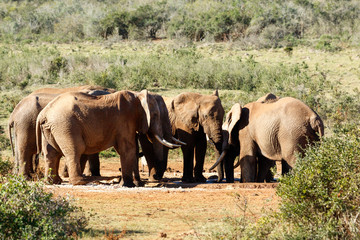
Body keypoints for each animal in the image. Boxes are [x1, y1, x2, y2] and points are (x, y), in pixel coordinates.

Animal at [35, 89, 179, 187]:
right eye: (155, 115)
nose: (156, 177)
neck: (137, 95)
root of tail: (43, 113)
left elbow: (128, 149)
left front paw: (129, 183)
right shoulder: (124, 119)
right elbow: (128, 148)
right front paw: (128, 185)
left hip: (49, 128)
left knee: (51, 153)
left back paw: (53, 182)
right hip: (65, 125)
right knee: (75, 150)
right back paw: (82, 182)